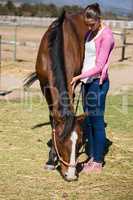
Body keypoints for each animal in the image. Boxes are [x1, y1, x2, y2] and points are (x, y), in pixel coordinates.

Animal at [24, 9, 90, 181]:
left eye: (79, 143)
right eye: (61, 142)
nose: (71, 175)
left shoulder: (72, 84)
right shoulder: (44, 85)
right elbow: (52, 118)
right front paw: (50, 159)